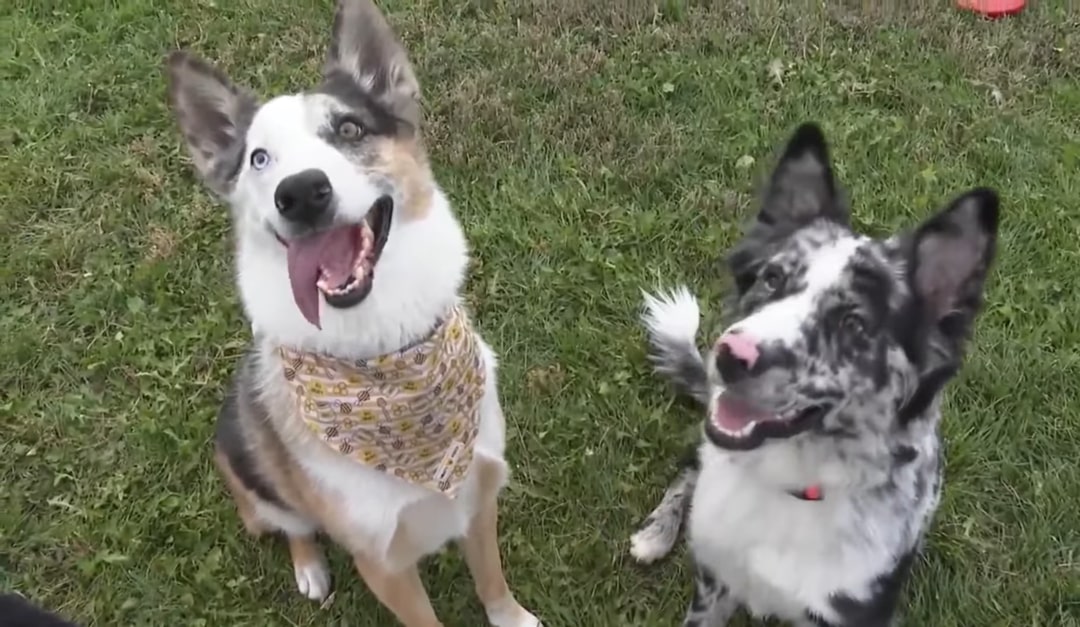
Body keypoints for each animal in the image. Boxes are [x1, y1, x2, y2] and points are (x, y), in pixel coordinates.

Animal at [165, 2, 544, 621]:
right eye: (259, 158)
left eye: (348, 129)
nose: (300, 192)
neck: (384, 348)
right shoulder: (383, 563)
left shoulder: (480, 492)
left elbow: (492, 578)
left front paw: (512, 617)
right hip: (257, 490)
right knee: (294, 527)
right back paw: (310, 569)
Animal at [630, 123, 997, 625]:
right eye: (772, 279)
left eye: (853, 324)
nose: (729, 356)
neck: (791, 485)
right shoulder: (713, 584)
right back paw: (655, 534)